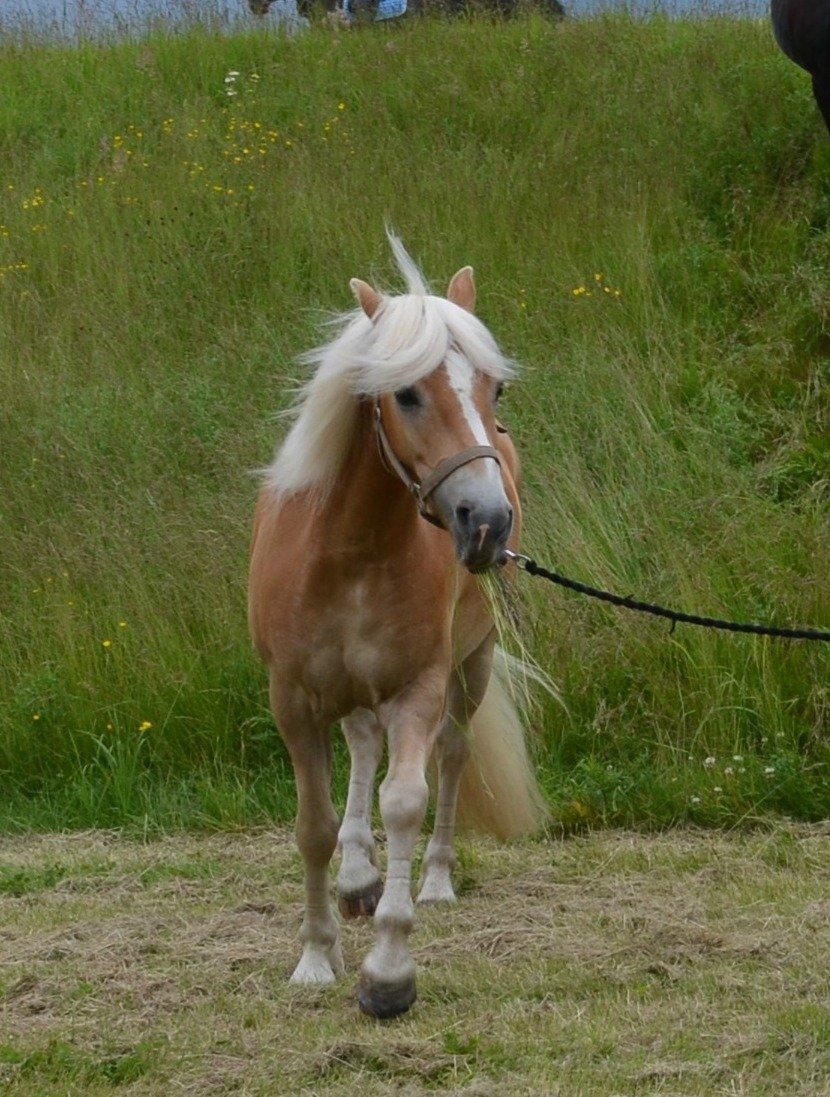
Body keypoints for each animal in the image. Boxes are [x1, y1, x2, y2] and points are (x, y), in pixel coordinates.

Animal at [245, 240, 543, 1018]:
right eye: (406, 393)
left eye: (496, 391)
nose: (487, 522)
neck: (350, 550)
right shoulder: (292, 699)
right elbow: (313, 825)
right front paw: (317, 952)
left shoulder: (418, 688)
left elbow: (407, 800)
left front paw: (387, 972)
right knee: (360, 747)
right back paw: (355, 874)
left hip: (471, 665)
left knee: (452, 754)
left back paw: (433, 878)